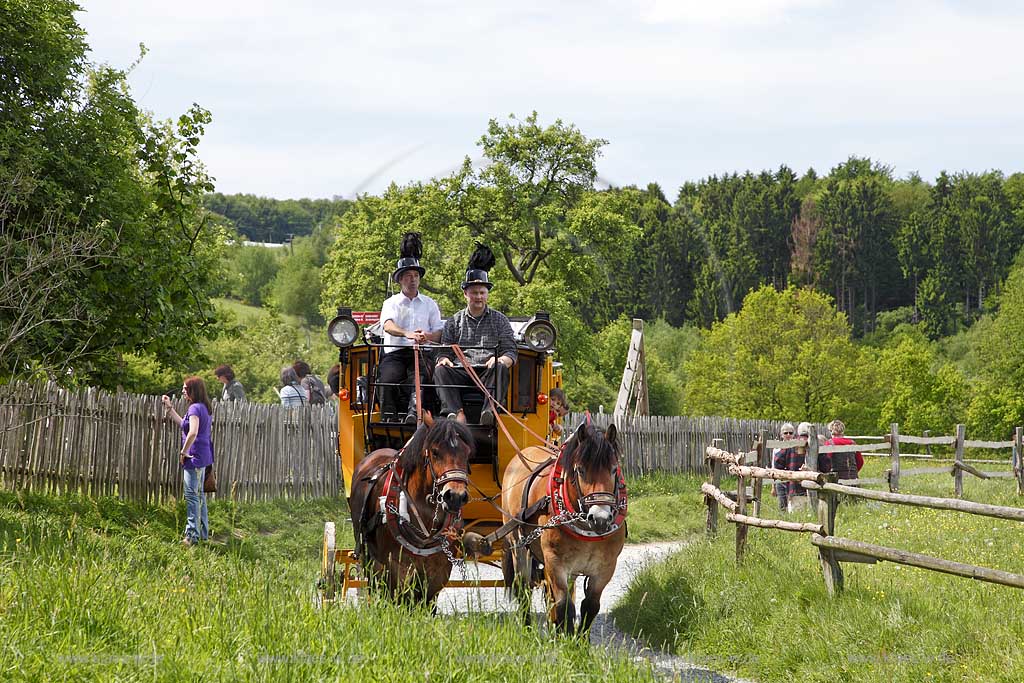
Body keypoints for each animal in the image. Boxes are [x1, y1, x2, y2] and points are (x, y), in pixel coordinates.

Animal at [348, 417, 475, 602]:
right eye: (435, 452)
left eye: (467, 453)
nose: (455, 496)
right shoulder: (396, 566)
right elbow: (400, 598)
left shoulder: (440, 569)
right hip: (368, 553)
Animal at [499, 421, 626, 634]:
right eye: (581, 470)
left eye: (614, 469)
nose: (600, 519)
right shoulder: (555, 562)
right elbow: (564, 607)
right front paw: (566, 638)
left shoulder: (606, 567)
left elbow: (590, 606)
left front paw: (580, 640)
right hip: (518, 546)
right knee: (524, 590)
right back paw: (527, 629)